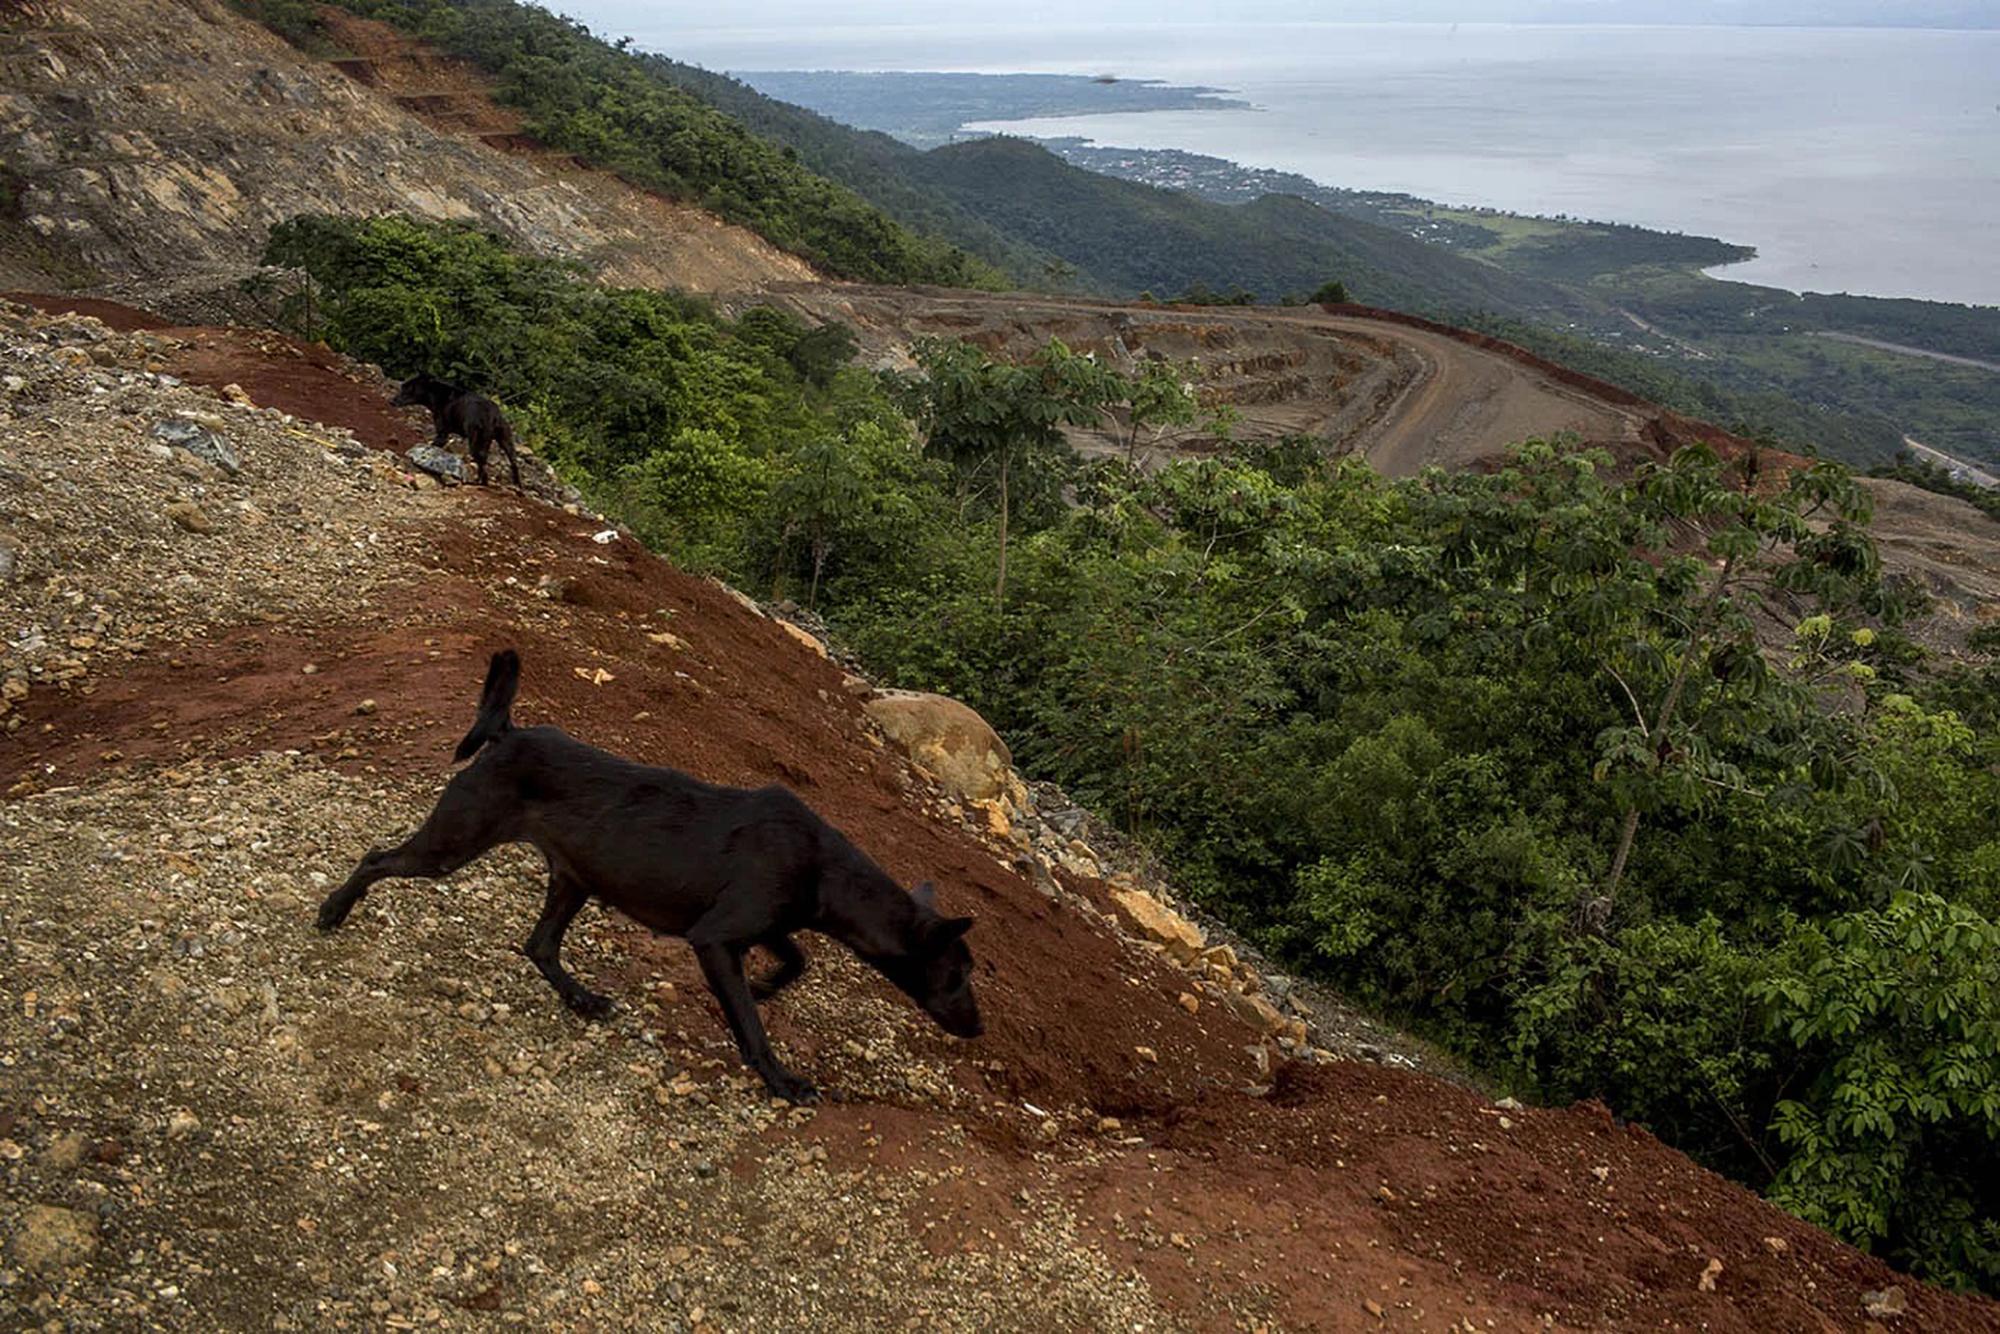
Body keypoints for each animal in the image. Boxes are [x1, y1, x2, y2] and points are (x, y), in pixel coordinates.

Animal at [316, 652, 988, 1104]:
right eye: (957, 975)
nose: (979, 1029)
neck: (827, 870)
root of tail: (509, 734)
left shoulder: (758, 923)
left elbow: (798, 959)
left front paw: (767, 985)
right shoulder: (715, 938)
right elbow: (753, 1024)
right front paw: (779, 1076)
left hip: (575, 878)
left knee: (539, 945)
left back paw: (581, 998)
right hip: (453, 844)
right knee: (376, 857)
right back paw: (333, 911)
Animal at [390, 374, 524, 488]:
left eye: (407, 388)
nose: (392, 401)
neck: (435, 393)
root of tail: (494, 415)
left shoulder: (442, 433)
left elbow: (433, 446)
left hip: (476, 441)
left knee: (483, 467)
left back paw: (478, 483)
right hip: (505, 440)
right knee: (513, 463)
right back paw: (518, 486)